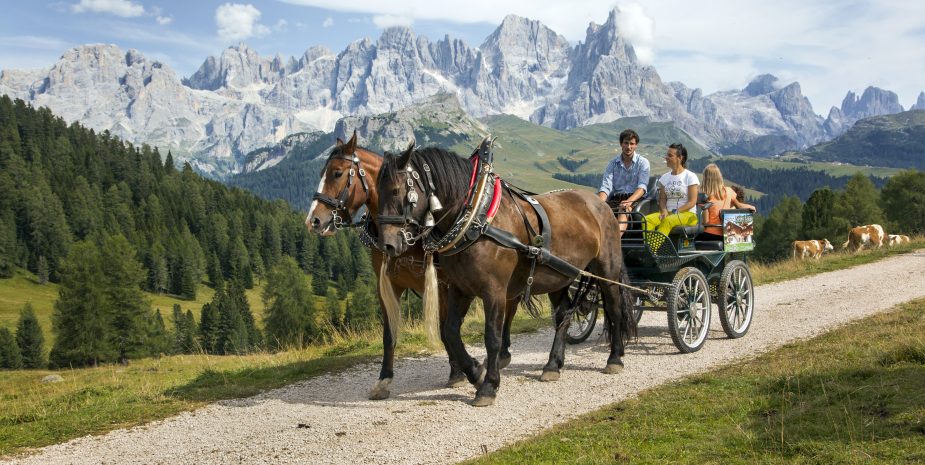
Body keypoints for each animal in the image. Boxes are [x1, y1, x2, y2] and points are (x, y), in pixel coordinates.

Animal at [304, 131, 520, 398]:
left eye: (337, 173)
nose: (313, 220)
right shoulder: (388, 285)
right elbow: (391, 334)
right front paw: (384, 379)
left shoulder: (443, 285)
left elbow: (446, 330)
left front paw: (464, 371)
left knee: (509, 308)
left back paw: (502, 355)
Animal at [376, 143, 636, 404]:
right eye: (377, 191)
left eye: (397, 191)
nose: (387, 245)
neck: (476, 218)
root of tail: (601, 204)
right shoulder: (460, 288)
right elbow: (450, 332)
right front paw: (476, 372)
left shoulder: (495, 291)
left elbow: (492, 336)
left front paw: (488, 385)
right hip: (560, 276)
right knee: (563, 315)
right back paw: (553, 365)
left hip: (607, 268)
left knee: (614, 308)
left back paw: (614, 358)